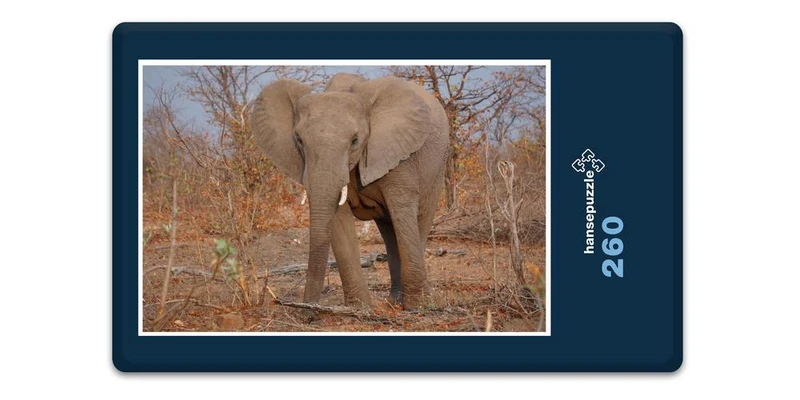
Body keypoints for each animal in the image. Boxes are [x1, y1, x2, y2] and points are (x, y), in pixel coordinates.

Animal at [250, 73, 449, 309]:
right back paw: (394, 301)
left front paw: (418, 306)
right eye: (299, 140)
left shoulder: (400, 155)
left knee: (418, 220)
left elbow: (402, 210)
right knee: (388, 229)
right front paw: (359, 308)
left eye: (355, 140)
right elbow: (338, 221)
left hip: (437, 166)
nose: (308, 307)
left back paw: (412, 302)